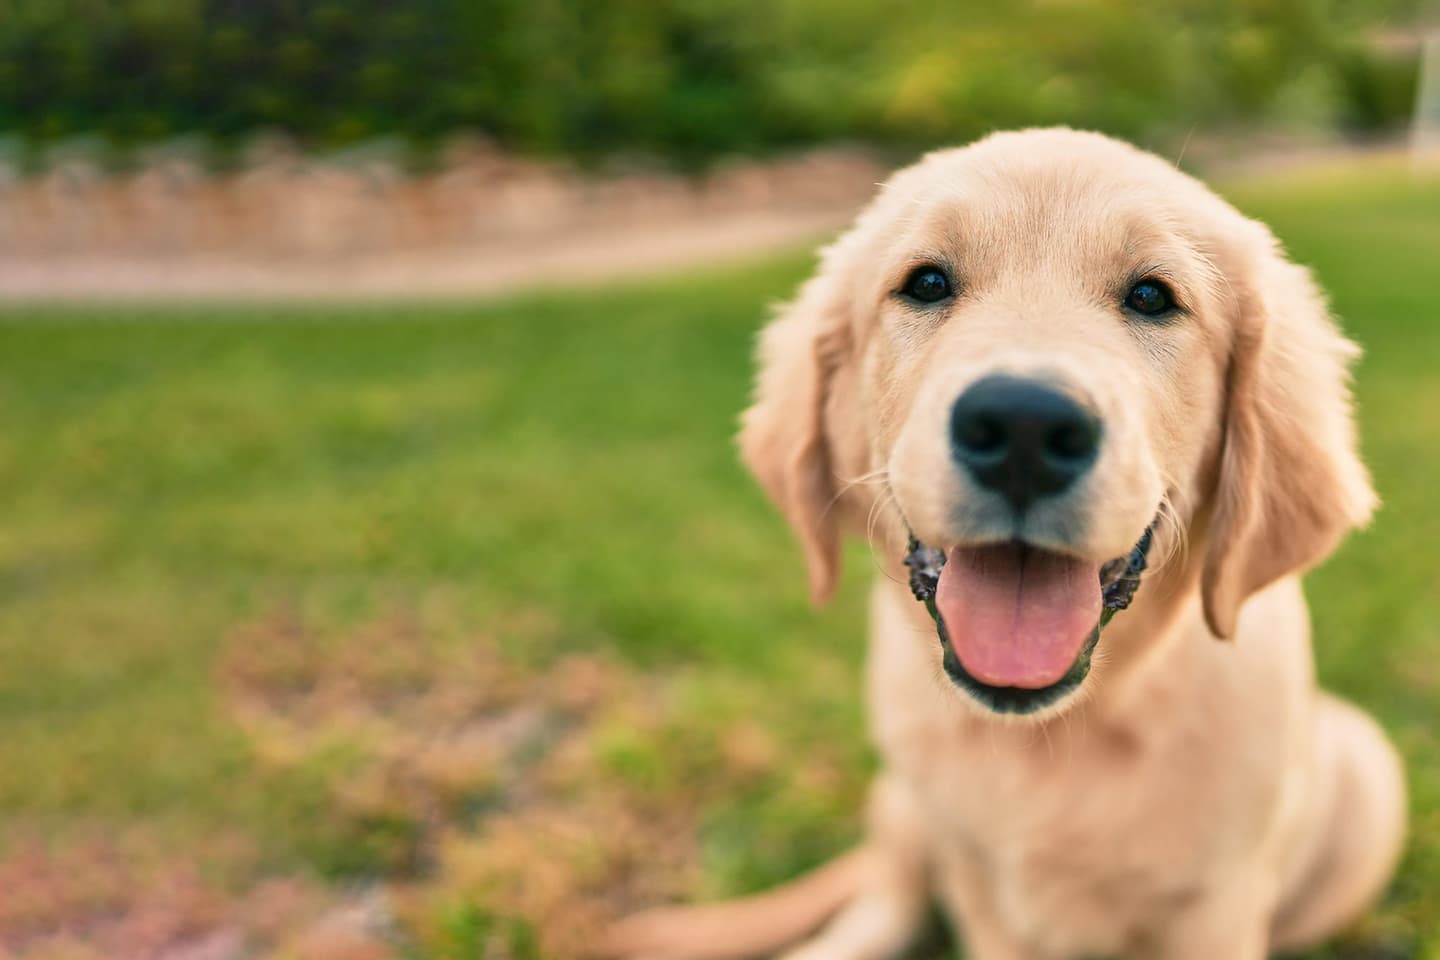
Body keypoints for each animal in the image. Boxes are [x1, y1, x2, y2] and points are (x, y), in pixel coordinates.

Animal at [607, 129, 1405, 960]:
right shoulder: (976, 887)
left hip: (1368, 772)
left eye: (1153, 297)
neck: (1051, 736)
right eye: (926, 283)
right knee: (884, 899)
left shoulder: (1216, 906)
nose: (1024, 426)